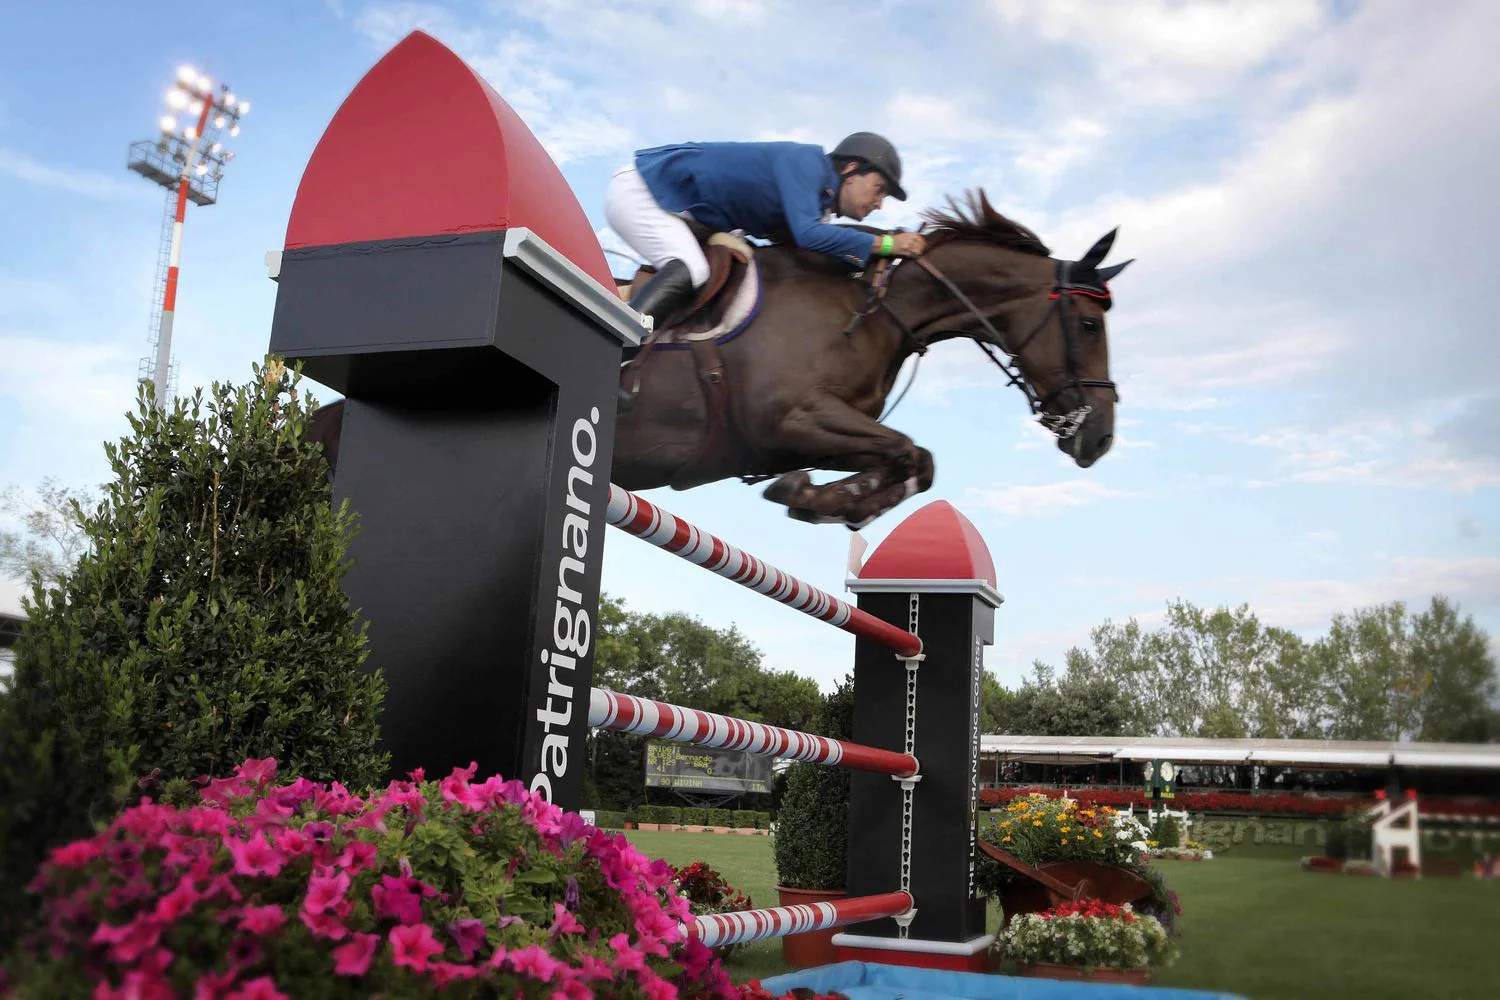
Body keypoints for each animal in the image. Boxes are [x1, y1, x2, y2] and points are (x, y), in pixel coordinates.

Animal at [305, 190, 1131, 529]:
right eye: (1090, 322)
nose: (1099, 438)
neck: (872, 311)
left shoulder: (815, 430)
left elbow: (913, 464)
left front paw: (823, 500)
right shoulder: (790, 420)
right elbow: (910, 454)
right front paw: (822, 501)